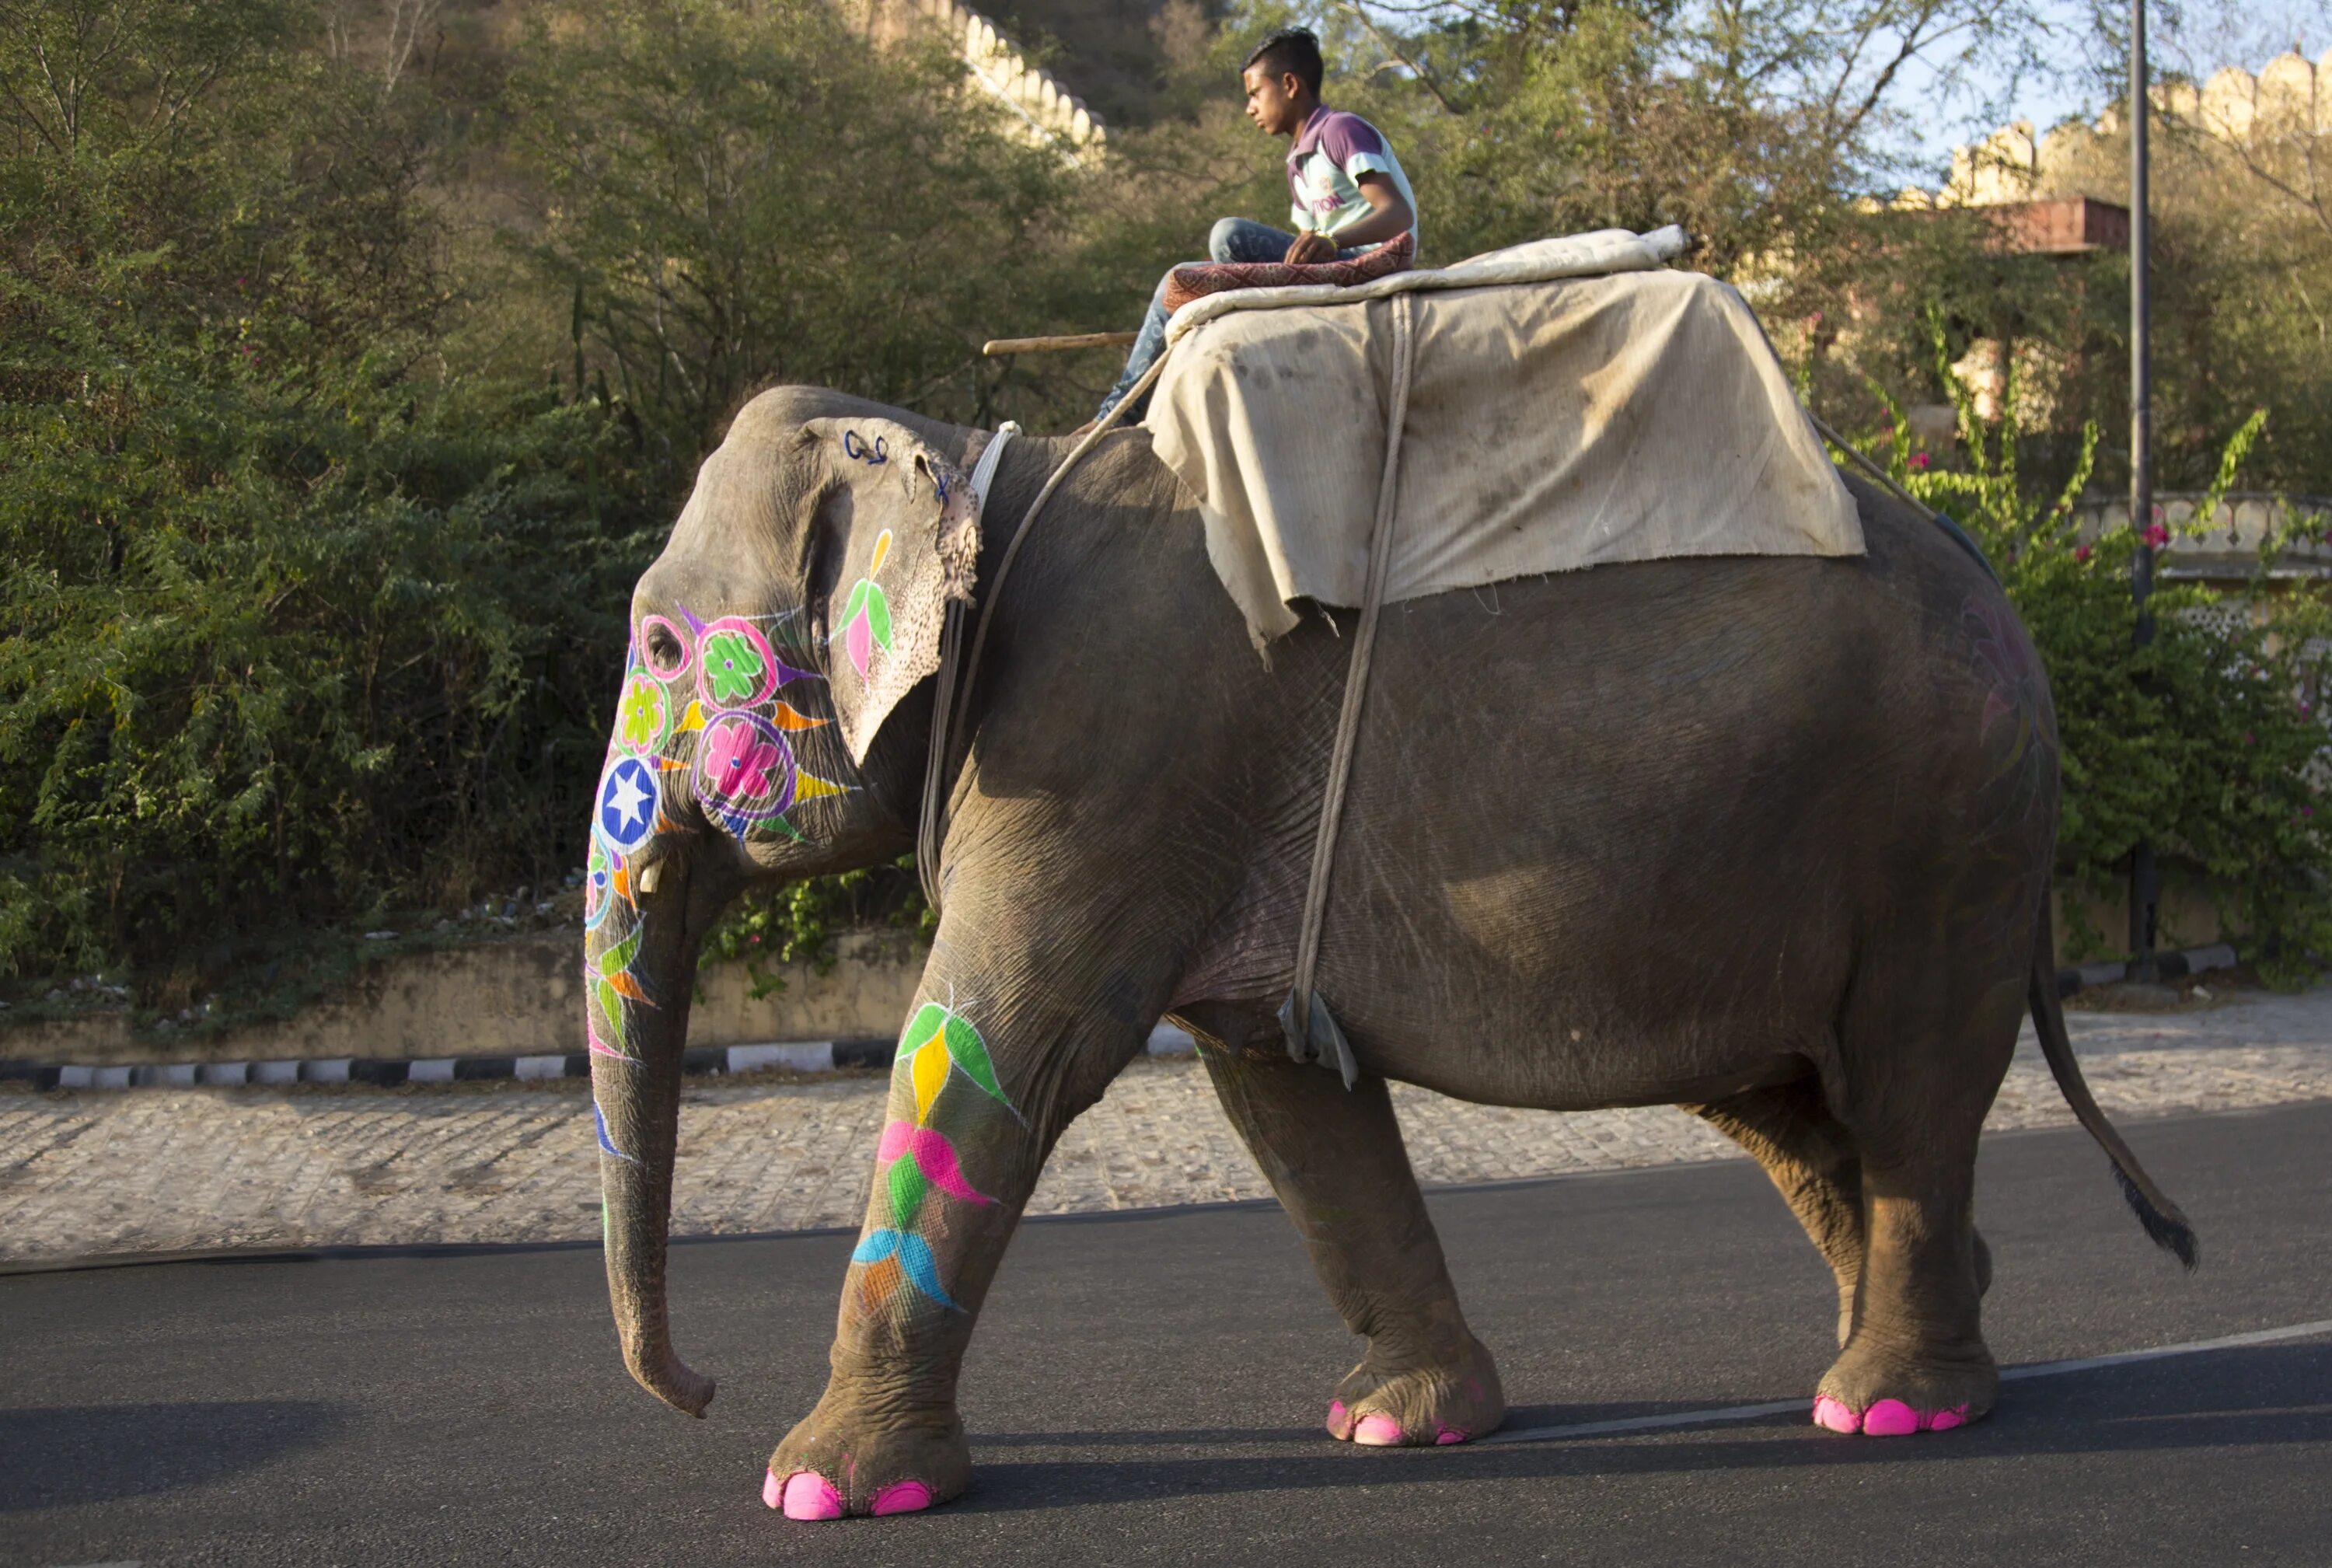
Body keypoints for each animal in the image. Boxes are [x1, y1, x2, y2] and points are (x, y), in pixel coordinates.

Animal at [578, 382, 2183, 1521]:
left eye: (657, 649)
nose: (699, 1389)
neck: (968, 461)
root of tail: (1987, 567)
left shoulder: (1110, 754)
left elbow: (990, 1045)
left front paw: (815, 1487)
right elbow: (1285, 1095)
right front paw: (1394, 1422)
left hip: (1947, 832)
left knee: (1908, 1087)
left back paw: (1893, 1404)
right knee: (1788, 1106)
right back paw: (1913, 1335)